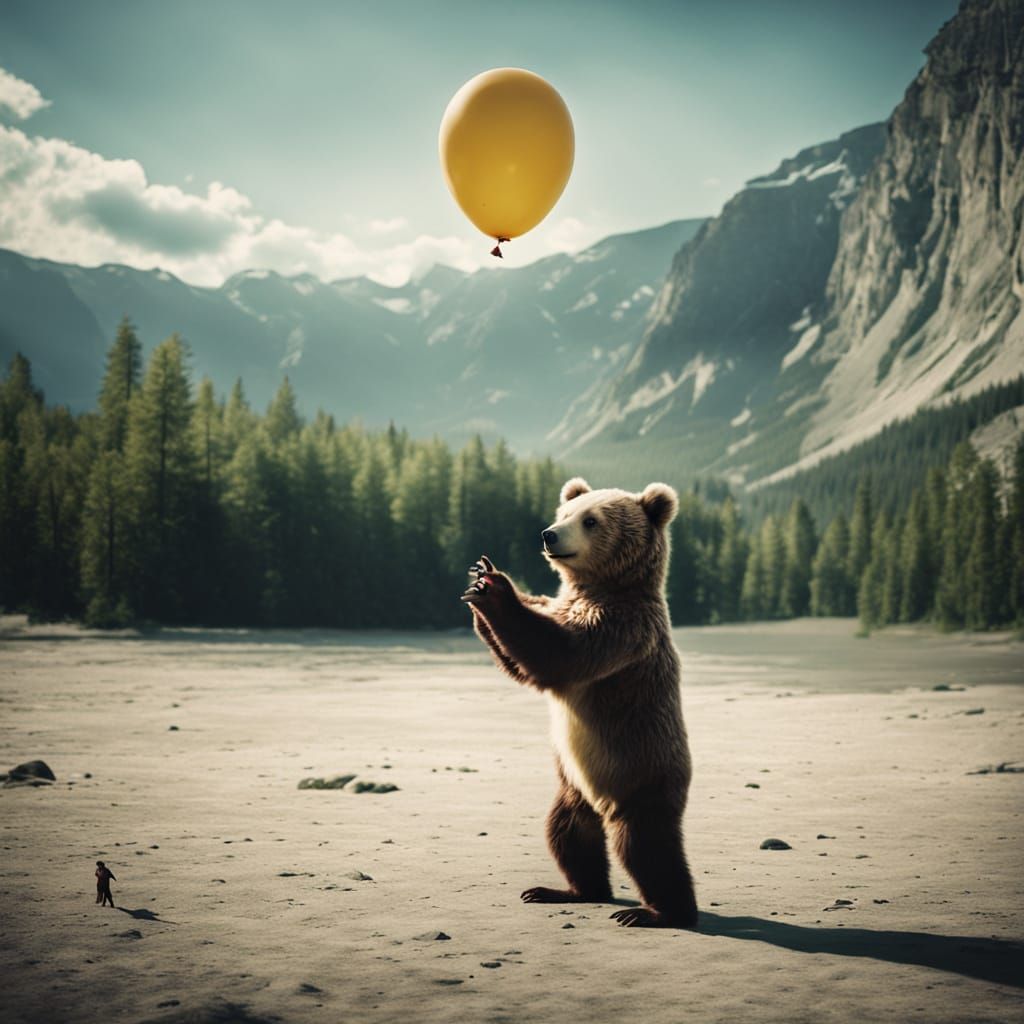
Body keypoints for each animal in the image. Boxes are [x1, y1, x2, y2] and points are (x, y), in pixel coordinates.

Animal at [461, 476, 698, 928]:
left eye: (591, 520)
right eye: (565, 513)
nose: (549, 535)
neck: (598, 587)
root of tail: (602, 804)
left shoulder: (621, 628)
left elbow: (557, 655)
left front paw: (496, 588)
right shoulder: (563, 605)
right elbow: (522, 658)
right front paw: (478, 578)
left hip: (643, 773)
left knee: (647, 847)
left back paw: (661, 912)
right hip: (573, 790)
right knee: (568, 834)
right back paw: (567, 890)